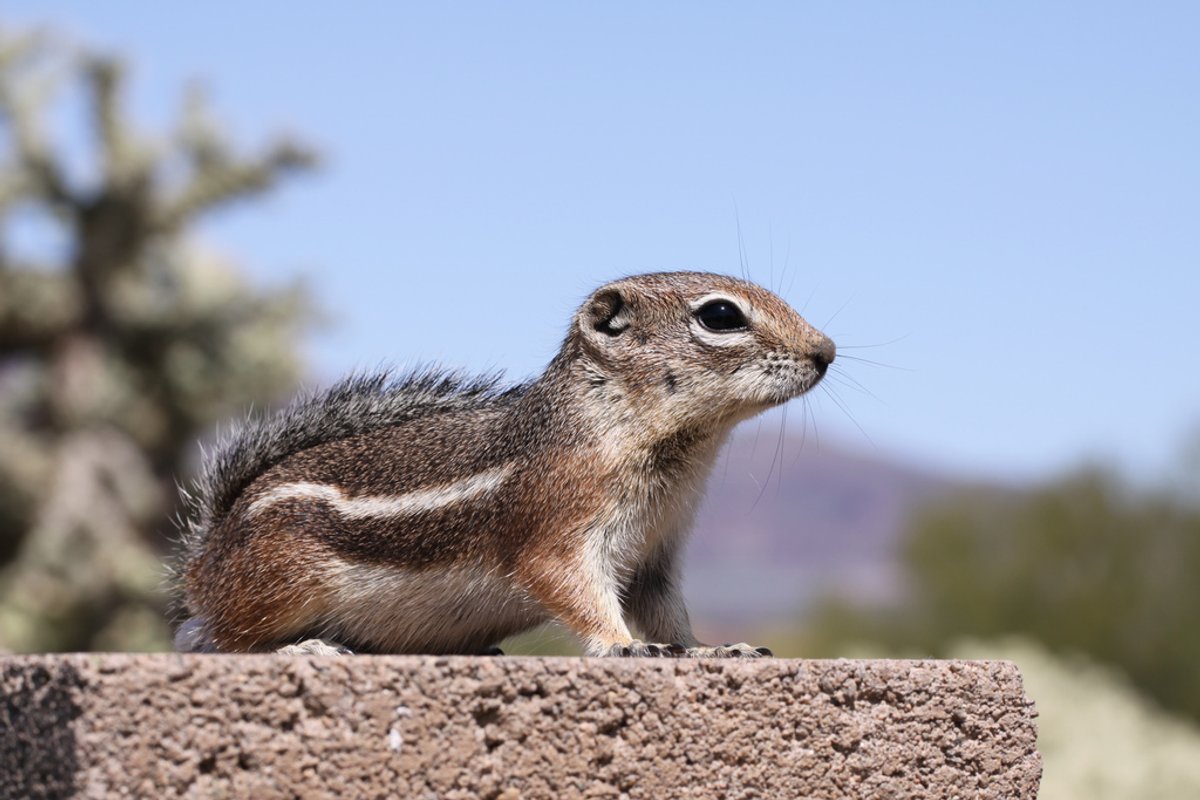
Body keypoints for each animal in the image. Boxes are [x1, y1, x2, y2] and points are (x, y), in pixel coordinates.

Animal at [173, 271, 835, 658]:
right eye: (721, 316)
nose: (826, 350)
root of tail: (204, 555)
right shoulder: (561, 521)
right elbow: (571, 586)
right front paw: (621, 645)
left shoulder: (656, 554)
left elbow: (667, 614)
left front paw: (708, 649)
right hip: (277, 582)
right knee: (223, 641)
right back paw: (302, 649)